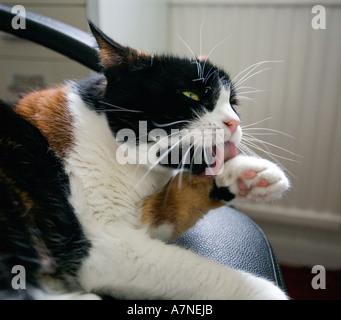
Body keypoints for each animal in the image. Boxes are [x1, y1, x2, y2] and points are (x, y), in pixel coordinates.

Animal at [0, 22, 288, 300]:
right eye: (191, 95)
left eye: (233, 103)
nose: (234, 122)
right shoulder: (107, 247)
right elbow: (198, 271)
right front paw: (267, 293)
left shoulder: (141, 221)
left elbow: (175, 205)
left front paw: (247, 175)